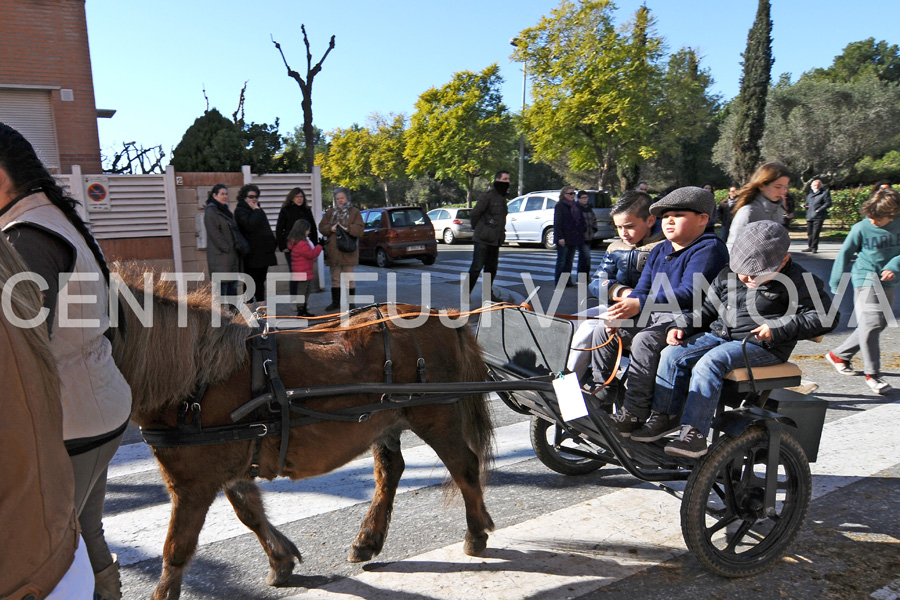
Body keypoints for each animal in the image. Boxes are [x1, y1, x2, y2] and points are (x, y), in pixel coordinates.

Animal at [111, 268, 496, 600]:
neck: (199, 373)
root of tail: (445, 316)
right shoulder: (228, 470)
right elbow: (250, 513)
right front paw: (281, 560)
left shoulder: (190, 486)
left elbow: (177, 546)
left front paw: (164, 591)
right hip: (386, 421)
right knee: (391, 473)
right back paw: (368, 540)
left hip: (436, 418)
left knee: (464, 467)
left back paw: (475, 532)